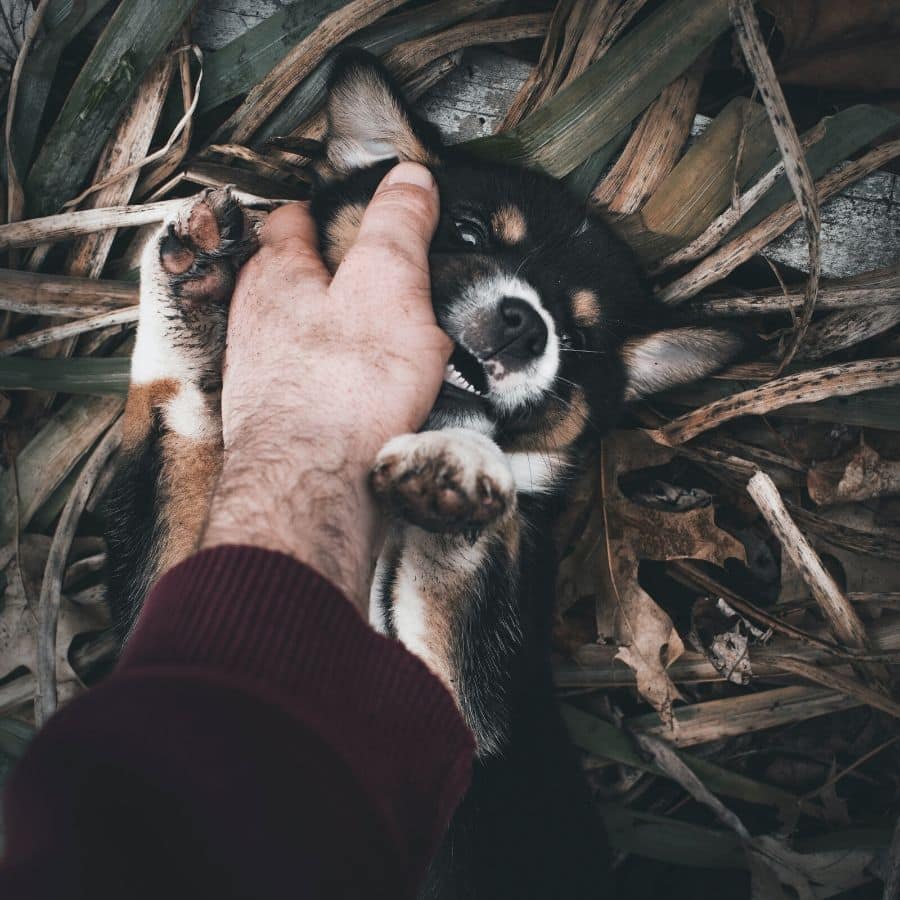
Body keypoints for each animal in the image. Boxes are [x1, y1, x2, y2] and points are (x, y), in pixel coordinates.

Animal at [103, 49, 740, 900]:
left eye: (577, 340)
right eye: (465, 230)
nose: (526, 326)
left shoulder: (464, 715)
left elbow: (473, 541)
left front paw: (463, 465)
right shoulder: (180, 610)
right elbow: (190, 408)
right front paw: (194, 286)